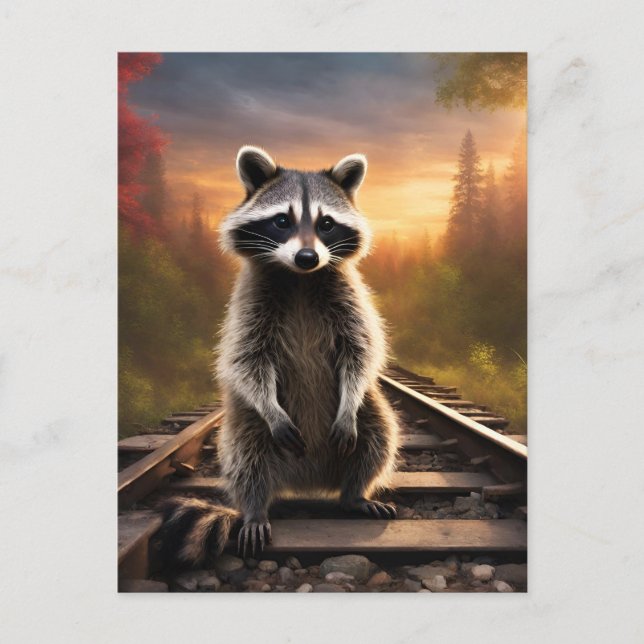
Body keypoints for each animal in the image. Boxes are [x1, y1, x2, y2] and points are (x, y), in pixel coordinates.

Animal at [158, 146, 400, 566]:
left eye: (326, 224)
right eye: (281, 221)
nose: (307, 256)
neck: (300, 278)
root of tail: (306, 480)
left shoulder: (349, 297)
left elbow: (362, 351)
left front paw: (349, 402)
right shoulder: (249, 303)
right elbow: (246, 360)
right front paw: (272, 409)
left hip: (370, 413)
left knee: (379, 434)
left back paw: (355, 493)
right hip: (244, 423)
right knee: (247, 454)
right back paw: (256, 508)